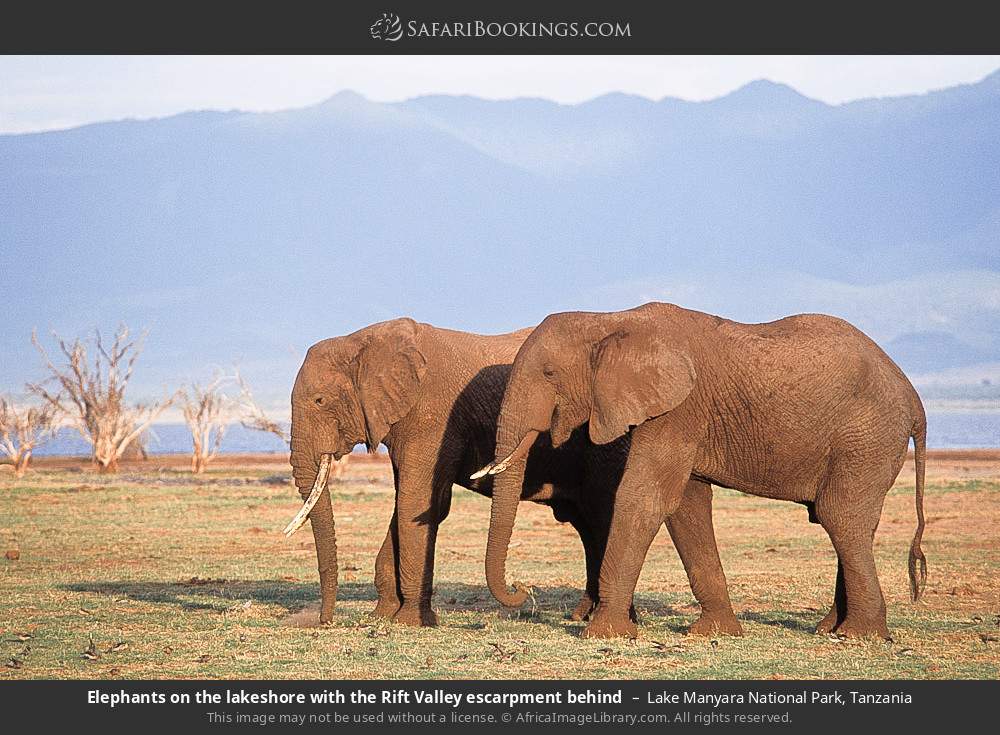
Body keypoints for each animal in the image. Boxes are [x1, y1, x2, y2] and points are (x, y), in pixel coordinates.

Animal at [286, 317, 740, 633]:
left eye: (320, 400)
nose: (322, 620)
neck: (366, 339)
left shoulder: (432, 417)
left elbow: (420, 502)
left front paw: (408, 623)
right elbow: (412, 505)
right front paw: (384, 615)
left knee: (601, 518)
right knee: (592, 524)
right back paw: (584, 614)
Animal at [475, 302, 927, 641]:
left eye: (549, 373)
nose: (520, 590)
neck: (611, 320)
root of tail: (913, 399)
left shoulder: (680, 409)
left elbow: (644, 497)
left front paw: (603, 635)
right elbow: (686, 505)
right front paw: (713, 633)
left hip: (866, 437)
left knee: (841, 516)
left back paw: (857, 635)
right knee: (849, 523)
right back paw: (828, 628)